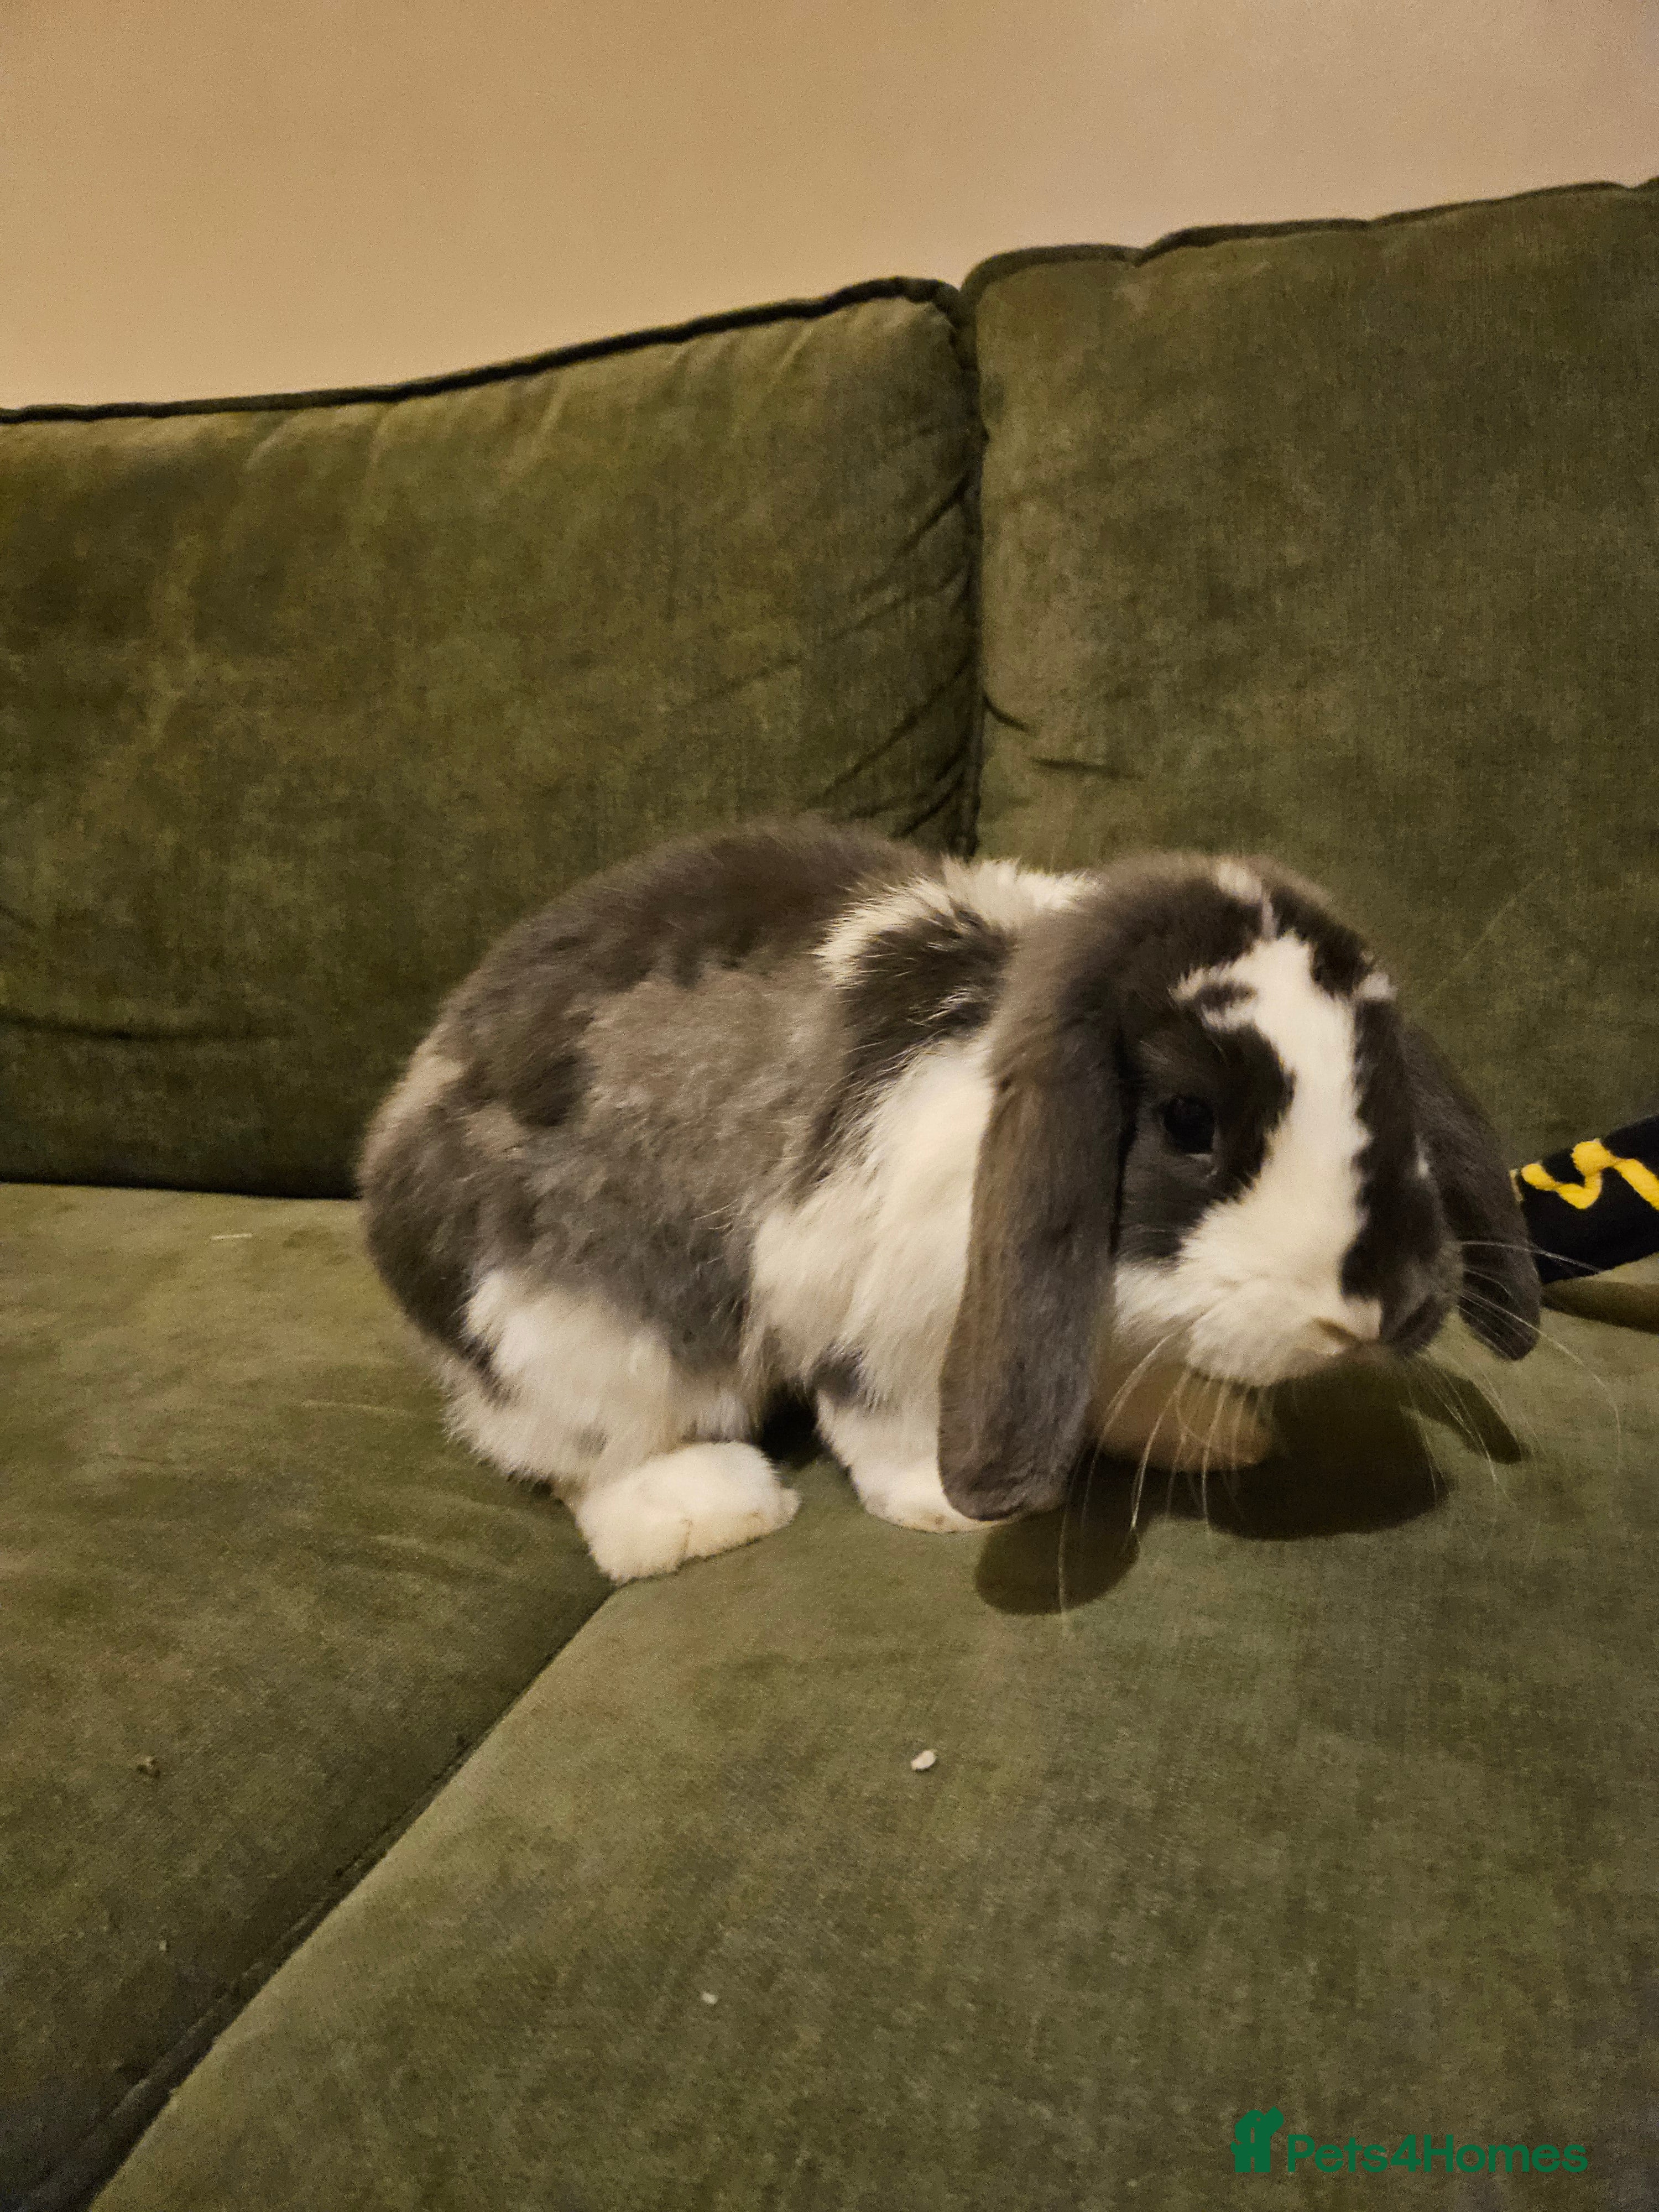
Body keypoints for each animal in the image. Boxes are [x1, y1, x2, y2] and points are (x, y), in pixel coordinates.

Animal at [359, 819, 1540, 1581]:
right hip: (572, 1325)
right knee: (585, 1452)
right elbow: (884, 1414)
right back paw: (708, 1512)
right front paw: (942, 1505)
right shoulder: (873, 1298)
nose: (1374, 1313)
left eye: (1383, 1075)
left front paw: (1211, 1434)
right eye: (1188, 1119)